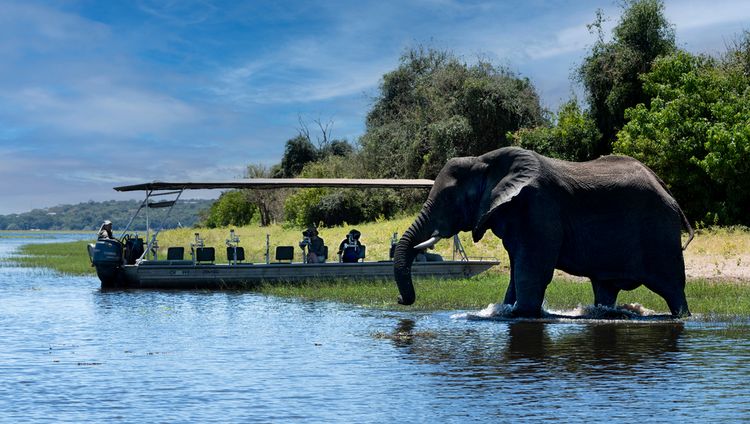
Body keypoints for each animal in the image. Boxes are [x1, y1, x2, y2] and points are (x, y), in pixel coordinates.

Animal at [396, 147, 696, 316]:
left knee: (672, 288)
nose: (400, 299)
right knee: (605, 287)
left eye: (449, 197)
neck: (485, 160)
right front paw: (506, 309)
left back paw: (682, 316)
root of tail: (666, 189)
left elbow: (532, 271)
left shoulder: (539, 209)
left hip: (660, 232)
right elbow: (517, 269)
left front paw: (520, 313)